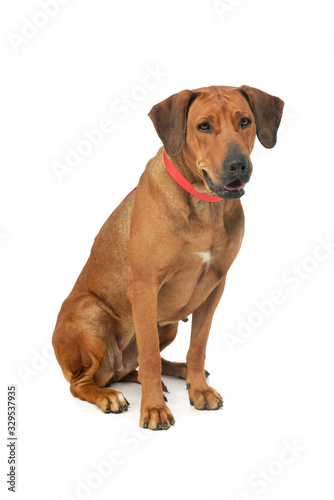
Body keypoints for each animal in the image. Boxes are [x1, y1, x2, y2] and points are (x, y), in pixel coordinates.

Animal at [52, 84, 284, 428]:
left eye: (245, 121)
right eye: (204, 126)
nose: (237, 165)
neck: (203, 203)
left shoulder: (214, 286)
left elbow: (197, 346)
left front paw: (198, 389)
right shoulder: (145, 287)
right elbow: (148, 357)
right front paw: (153, 409)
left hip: (168, 323)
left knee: (134, 368)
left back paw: (178, 371)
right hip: (91, 317)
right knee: (82, 383)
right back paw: (108, 396)